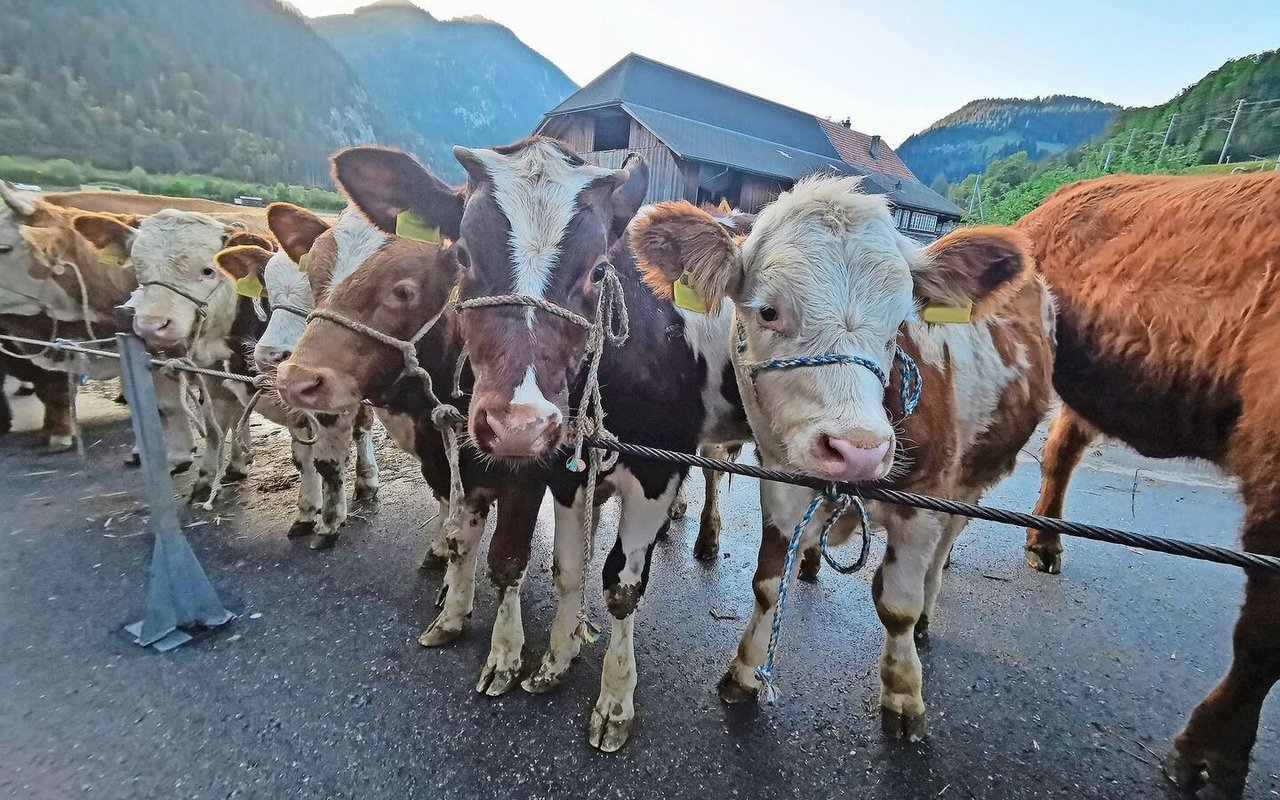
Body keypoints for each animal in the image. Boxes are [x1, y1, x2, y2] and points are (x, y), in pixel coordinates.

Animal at [624, 177, 1054, 737]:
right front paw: (745, 672)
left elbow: (897, 604)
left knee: (946, 545)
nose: (859, 451)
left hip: (972, 476)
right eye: (767, 311)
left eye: (900, 322)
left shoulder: (926, 500)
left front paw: (903, 694)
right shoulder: (782, 483)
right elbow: (767, 584)